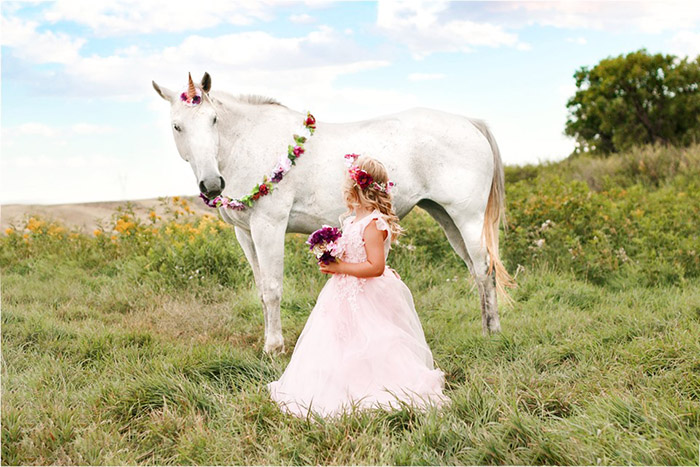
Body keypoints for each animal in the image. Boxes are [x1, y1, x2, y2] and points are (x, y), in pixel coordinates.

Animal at [153, 71, 512, 352]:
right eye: (177, 126)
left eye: (213, 120)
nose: (212, 184)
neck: (248, 143)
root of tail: (468, 122)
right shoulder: (245, 233)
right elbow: (260, 289)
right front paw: (269, 341)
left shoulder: (269, 226)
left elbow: (272, 289)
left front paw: (274, 347)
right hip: (445, 217)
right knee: (475, 270)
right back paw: (486, 327)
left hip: (466, 218)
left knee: (484, 268)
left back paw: (493, 333)